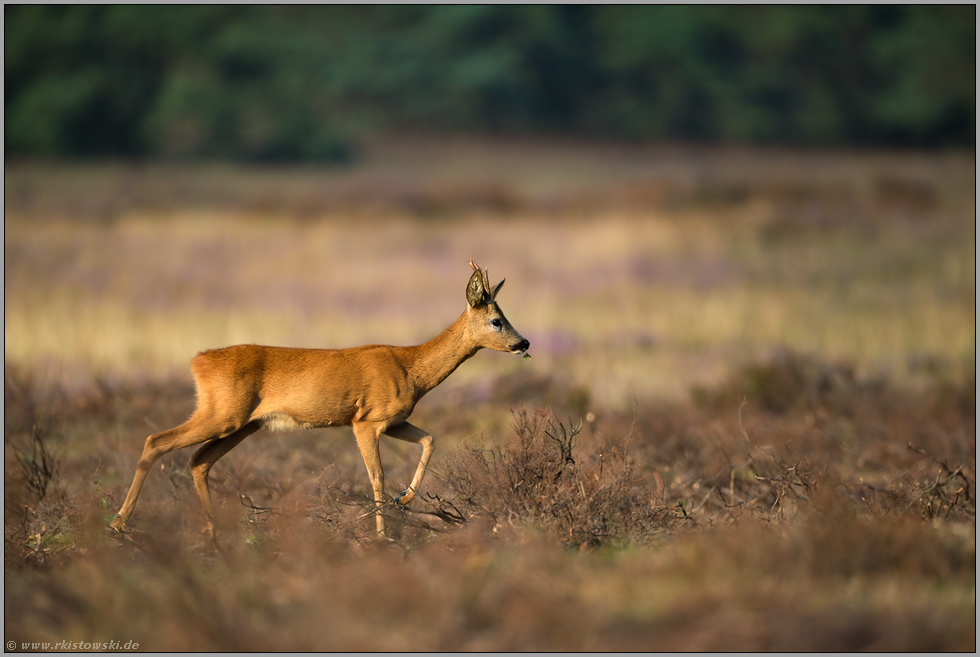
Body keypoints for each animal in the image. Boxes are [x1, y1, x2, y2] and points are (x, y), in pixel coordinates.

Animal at [109, 258, 528, 536]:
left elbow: (429, 439)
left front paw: (405, 501)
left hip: (243, 425)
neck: (411, 368)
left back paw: (214, 534)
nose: (524, 342)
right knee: (156, 440)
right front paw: (381, 536)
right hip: (222, 414)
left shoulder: (394, 421)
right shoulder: (365, 421)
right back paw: (119, 523)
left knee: (198, 461)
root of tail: (199, 360)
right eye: (496, 320)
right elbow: (376, 476)